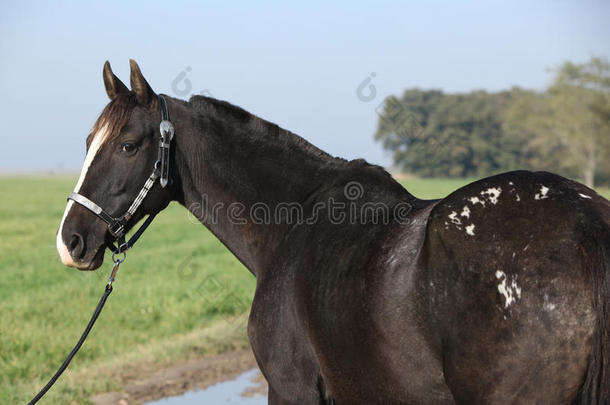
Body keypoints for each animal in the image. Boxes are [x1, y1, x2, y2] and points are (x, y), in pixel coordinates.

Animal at [54, 60, 604, 404]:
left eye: (128, 145)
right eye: (88, 141)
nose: (71, 241)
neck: (293, 222)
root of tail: (584, 225)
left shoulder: (291, 388)